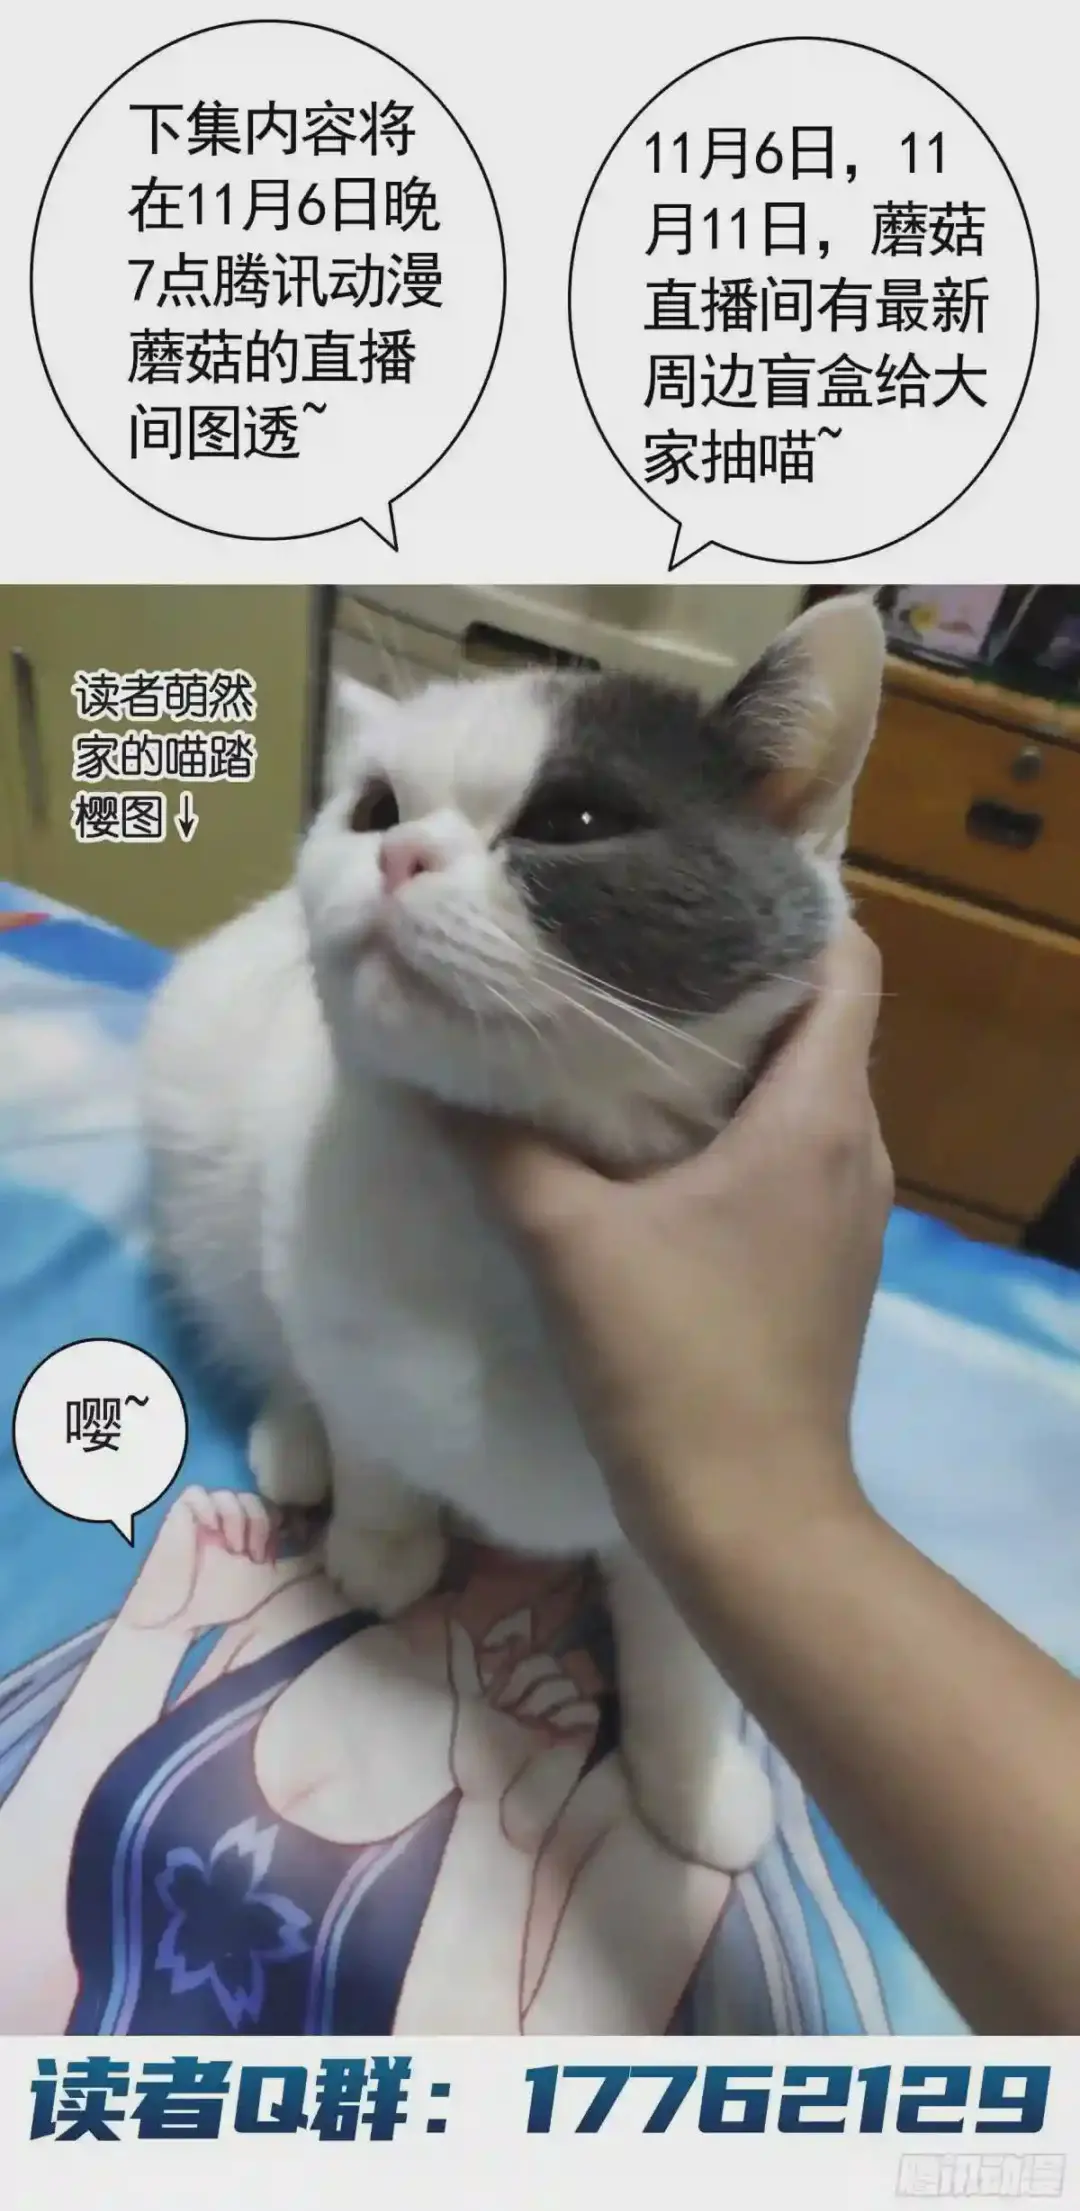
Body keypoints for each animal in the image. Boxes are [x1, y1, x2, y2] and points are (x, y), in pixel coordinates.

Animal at [142, 592, 885, 1876]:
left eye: (574, 822)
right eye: (375, 808)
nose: (399, 855)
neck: (502, 1264)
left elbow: (685, 1664)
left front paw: (691, 1785)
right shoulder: (327, 1266)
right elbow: (369, 1422)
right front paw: (383, 1540)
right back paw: (298, 1444)